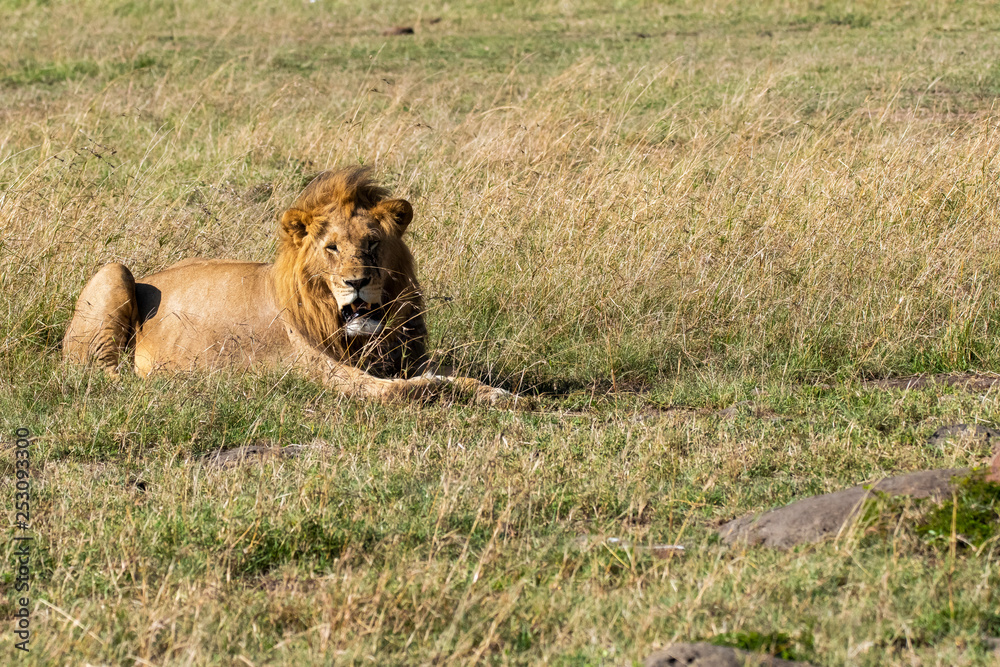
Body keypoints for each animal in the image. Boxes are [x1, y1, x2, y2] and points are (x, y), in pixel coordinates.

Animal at [62, 166, 508, 402]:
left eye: (372, 244)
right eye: (331, 247)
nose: (357, 282)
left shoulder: (403, 359)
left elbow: (449, 376)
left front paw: (498, 393)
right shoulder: (323, 371)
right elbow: (407, 390)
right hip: (114, 271)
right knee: (100, 373)